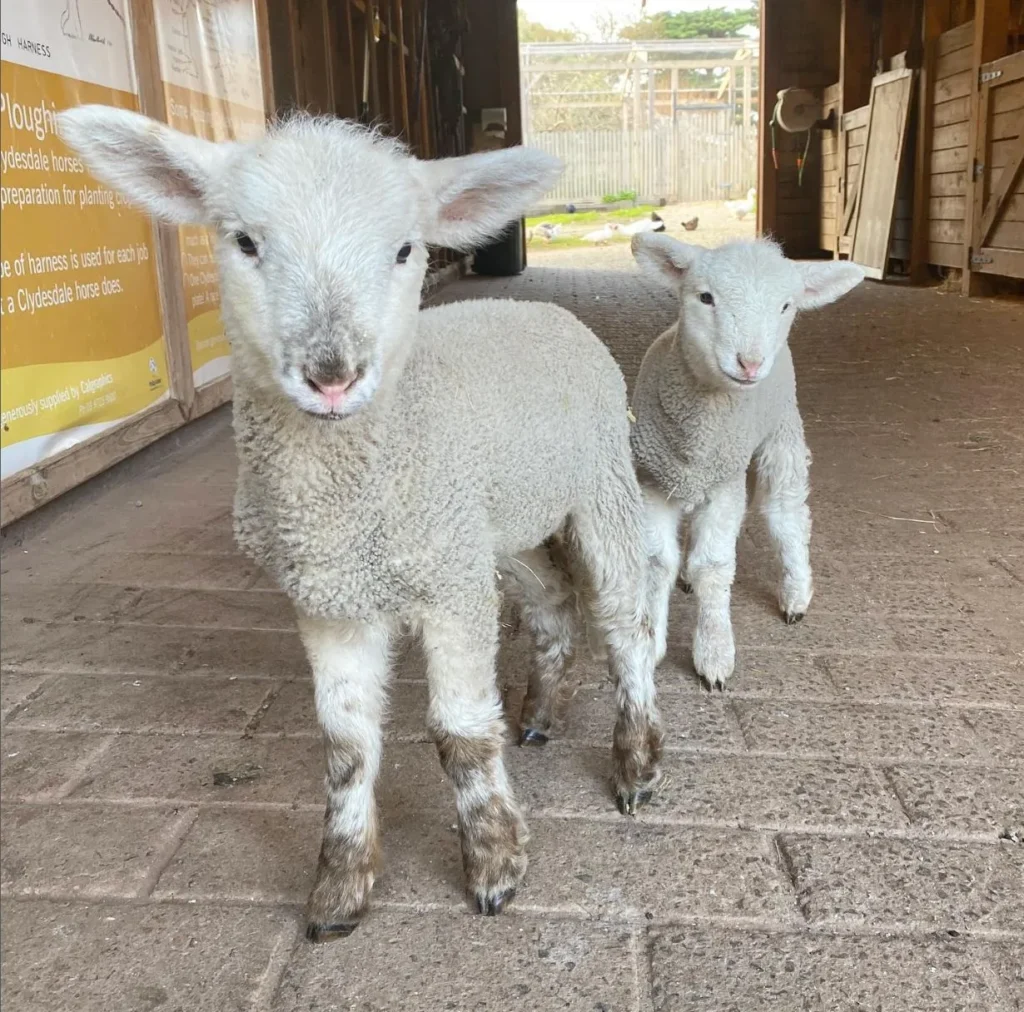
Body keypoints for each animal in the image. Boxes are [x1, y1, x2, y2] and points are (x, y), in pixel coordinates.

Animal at [58, 108, 663, 942]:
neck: (343, 498)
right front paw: (340, 890)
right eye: (244, 242)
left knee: (625, 619)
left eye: (405, 249)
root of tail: (538, 308)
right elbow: (345, 747)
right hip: (492, 525)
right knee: (551, 600)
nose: (332, 375)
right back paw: (541, 712)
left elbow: (461, 734)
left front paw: (495, 865)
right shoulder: (332, 598)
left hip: (598, 482)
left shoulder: (448, 588)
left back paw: (636, 762)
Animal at [630, 233, 864, 684]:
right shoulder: (654, 480)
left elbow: (714, 566)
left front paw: (714, 652)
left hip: (783, 433)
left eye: (785, 306)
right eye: (705, 297)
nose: (750, 364)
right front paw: (647, 645)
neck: (698, 434)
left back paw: (795, 594)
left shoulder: (725, 482)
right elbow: (654, 564)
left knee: (786, 514)